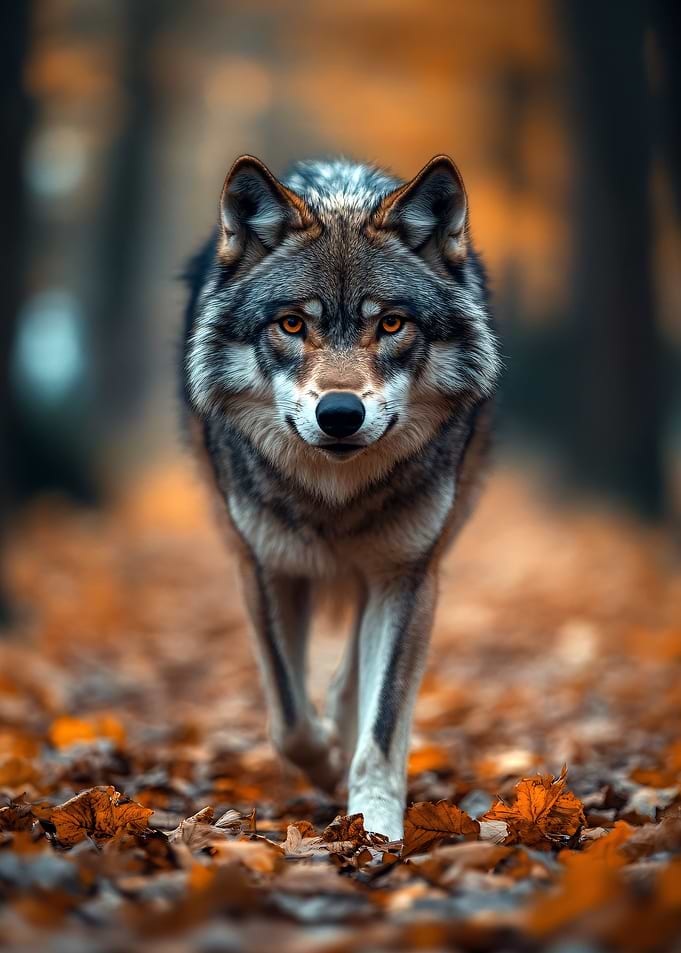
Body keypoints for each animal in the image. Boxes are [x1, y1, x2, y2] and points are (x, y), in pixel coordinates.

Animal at [181, 154, 500, 839]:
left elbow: (381, 725)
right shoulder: (265, 567)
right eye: (293, 323)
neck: (337, 498)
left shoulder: (408, 575)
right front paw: (326, 764)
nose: (340, 414)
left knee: (354, 676)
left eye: (391, 323)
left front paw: (375, 827)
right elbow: (288, 719)